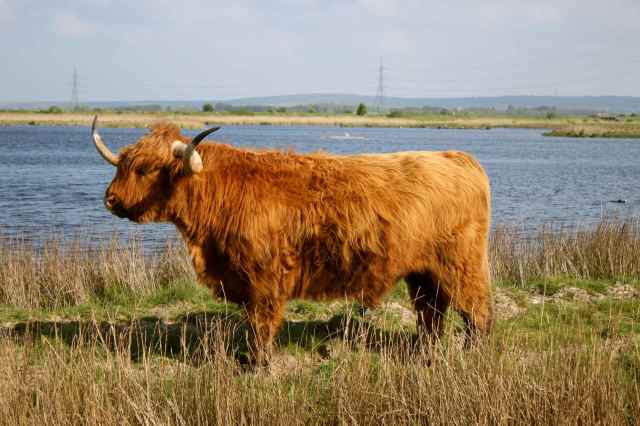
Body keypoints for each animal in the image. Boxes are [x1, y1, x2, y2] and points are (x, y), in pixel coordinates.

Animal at [90, 116, 493, 363]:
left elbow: (262, 322)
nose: (110, 199)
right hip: (423, 271)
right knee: (431, 312)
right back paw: (425, 354)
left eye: (144, 169)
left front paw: (259, 363)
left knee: (476, 311)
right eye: (121, 164)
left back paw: (473, 354)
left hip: (462, 264)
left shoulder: (263, 277)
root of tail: (459, 158)